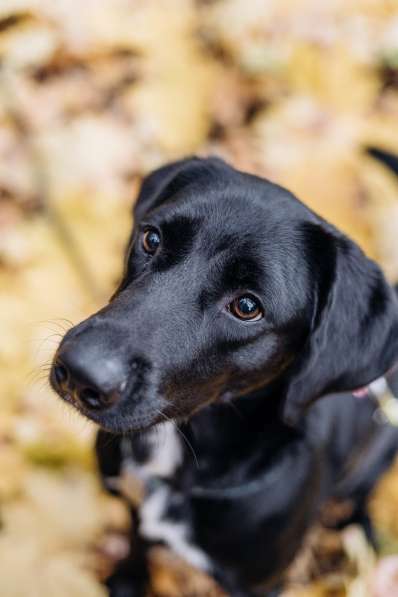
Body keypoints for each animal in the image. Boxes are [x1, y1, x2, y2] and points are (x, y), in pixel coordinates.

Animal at [49, 156, 398, 592]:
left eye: (247, 306)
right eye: (151, 238)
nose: (80, 372)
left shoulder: (262, 583)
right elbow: (136, 544)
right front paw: (127, 581)